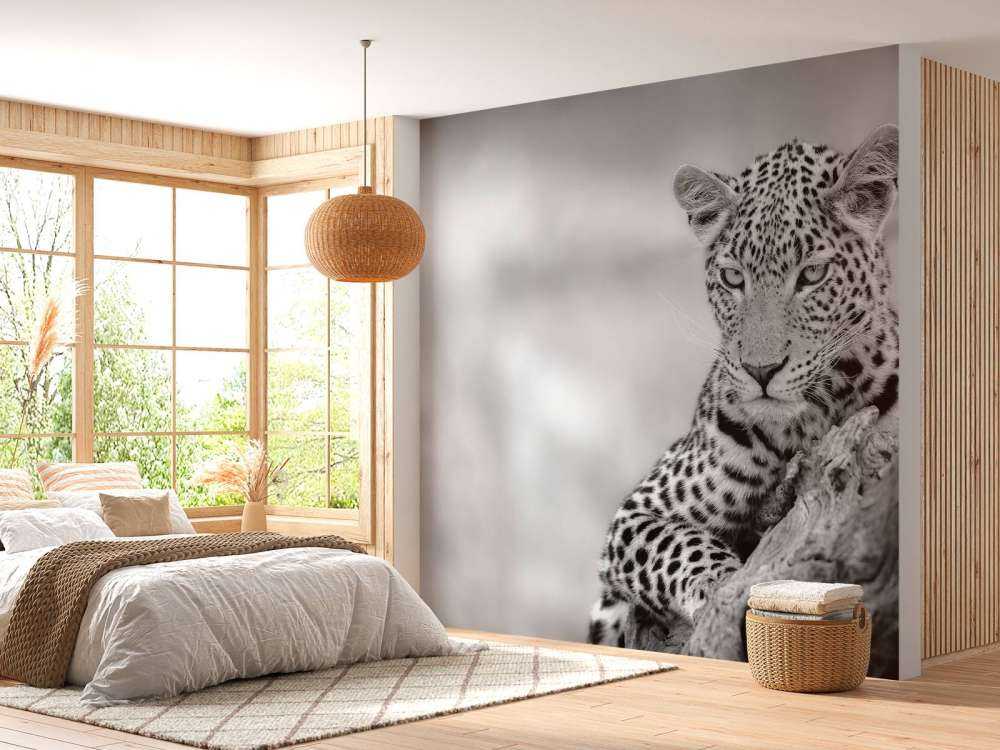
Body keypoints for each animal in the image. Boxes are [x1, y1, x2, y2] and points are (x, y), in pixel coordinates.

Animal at [588, 124, 900, 649]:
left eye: (812, 274)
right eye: (734, 278)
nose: (761, 370)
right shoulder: (635, 515)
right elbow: (677, 543)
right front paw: (716, 583)